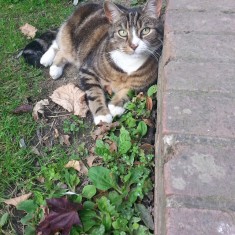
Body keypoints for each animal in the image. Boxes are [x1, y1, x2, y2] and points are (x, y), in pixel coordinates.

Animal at [27, 0, 162, 125]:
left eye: (146, 30)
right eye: (122, 32)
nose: (134, 45)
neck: (129, 61)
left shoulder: (145, 84)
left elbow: (129, 90)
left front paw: (115, 105)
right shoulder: (88, 70)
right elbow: (94, 93)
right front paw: (102, 115)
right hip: (70, 39)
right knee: (58, 43)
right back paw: (48, 61)